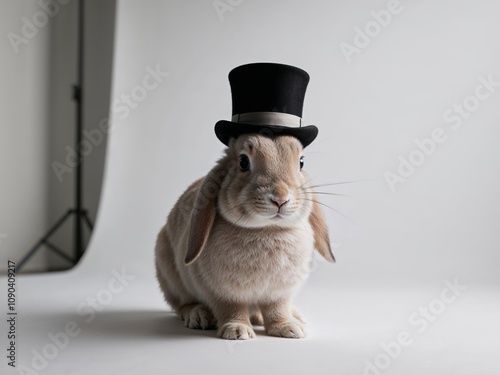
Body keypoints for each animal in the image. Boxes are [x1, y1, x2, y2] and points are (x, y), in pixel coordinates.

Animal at [155, 133, 336, 340]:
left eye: (301, 162)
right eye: (243, 162)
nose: (280, 198)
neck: (267, 230)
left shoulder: (278, 293)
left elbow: (277, 309)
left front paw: (288, 328)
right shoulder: (224, 292)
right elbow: (231, 309)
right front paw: (237, 331)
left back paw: (290, 316)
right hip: (170, 275)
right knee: (182, 304)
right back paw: (199, 316)